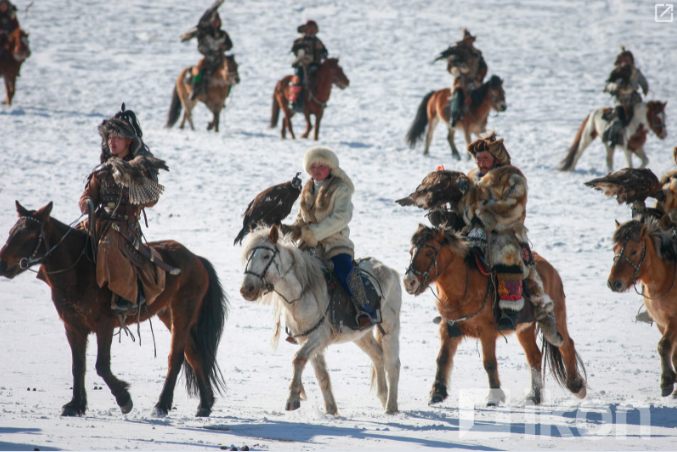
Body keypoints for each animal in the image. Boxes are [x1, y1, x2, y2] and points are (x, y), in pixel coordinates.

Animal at [0, 203, 230, 418]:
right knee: (194, 353)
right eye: (11, 231)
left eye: (28, 233)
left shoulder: (105, 325)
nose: (2, 264)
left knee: (176, 357)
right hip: (168, 314)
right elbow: (78, 365)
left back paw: (162, 405)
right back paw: (205, 404)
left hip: (182, 311)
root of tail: (196, 259)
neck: (78, 269)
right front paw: (75, 405)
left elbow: (101, 365)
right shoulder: (73, 327)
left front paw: (124, 399)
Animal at [240, 228, 402, 414]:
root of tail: (390, 271)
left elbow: (298, 358)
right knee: (378, 356)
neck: (302, 293)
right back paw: (383, 397)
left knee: (392, 365)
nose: (246, 289)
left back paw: (391, 407)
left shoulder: (318, 335)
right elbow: (321, 375)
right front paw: (331, 410)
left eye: (266, 256)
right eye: (248, 256)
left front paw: (293, 398)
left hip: (390, 327)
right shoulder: (306, 338)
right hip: (361, 336)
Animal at [402, 226, 588, 406]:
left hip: (557, 315)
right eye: (411, 252)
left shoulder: (487, 332)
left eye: (430, 253)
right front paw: (437, 392)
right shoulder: (449, 328)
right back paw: (534, 396)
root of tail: (550, 267)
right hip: (525, 327)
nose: (408, 282)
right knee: (534, 356)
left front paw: (493, 397)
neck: (464, 288)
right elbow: (442, 358)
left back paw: (576, 386)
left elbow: (489, 363)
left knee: (566, 344)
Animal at [608, 221, 676, 398]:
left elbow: (664, 346)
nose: (614, 283)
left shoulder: (674, 320)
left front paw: (666, 381)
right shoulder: (661, 322)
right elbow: (670, 351)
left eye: (634, 251)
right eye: (614, 249)